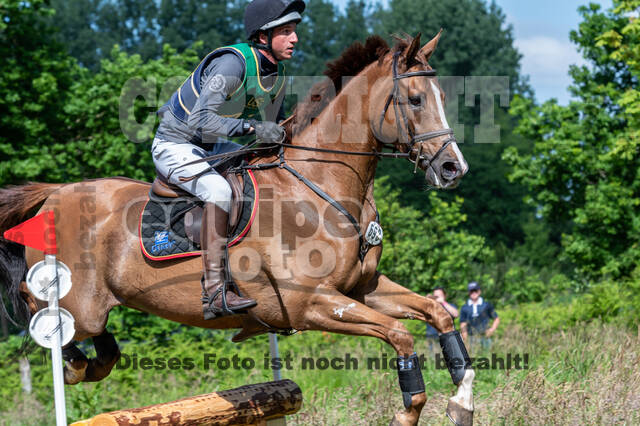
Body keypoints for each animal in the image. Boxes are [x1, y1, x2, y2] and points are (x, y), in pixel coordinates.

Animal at [0, 32, 474, 426]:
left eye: (441, 95)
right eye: (415, 99)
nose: (454, 169)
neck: (320, 186)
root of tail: (55, 195)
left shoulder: (363, 289)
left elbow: (439, 317)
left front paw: (462, 403)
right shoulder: (313, 304)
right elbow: (401, 337)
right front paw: (410, 411)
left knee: (98, 344)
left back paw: (91, 361)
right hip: (80, 304)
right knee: (37, 306)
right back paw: (72, 357)